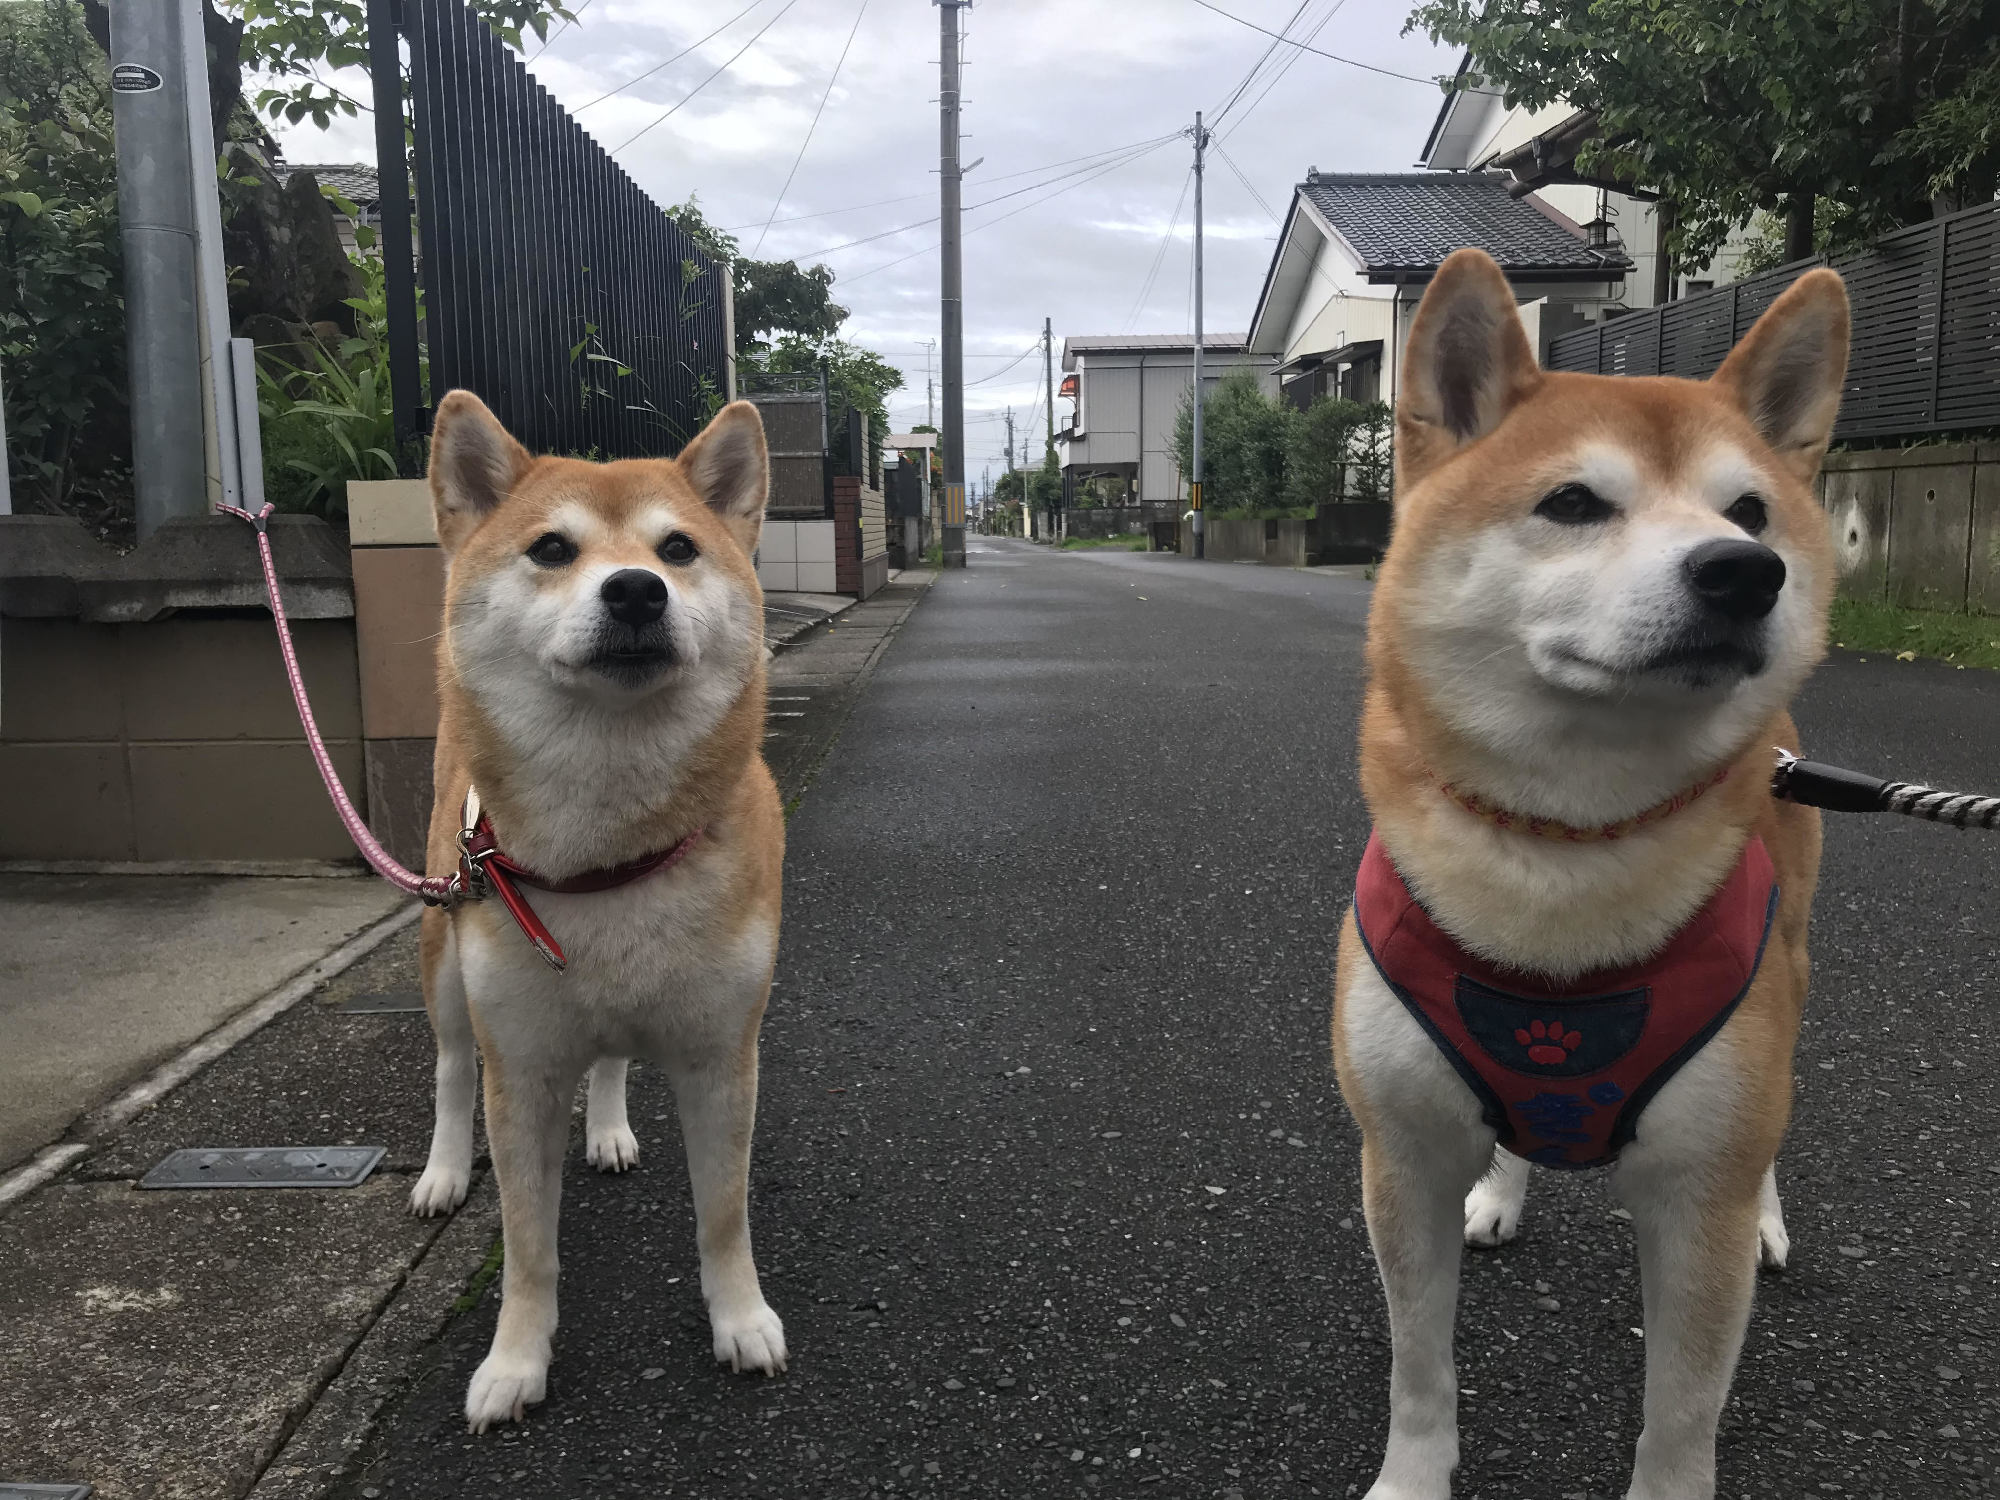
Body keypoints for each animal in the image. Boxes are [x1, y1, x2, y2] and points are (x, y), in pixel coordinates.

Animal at [402, 394, 784, 1440]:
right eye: (551, 548)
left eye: (679, 548)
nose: (637, 592)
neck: (609, 856)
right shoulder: (522, 1070)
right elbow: (528, 1244)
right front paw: (513, 1362)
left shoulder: (722, 1054)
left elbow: (723, 1214)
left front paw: (741, 1321)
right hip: (447, 948)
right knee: (450, 1067)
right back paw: (442, 1173)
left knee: (610, 1057)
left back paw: (609, 1129)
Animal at [1336, 250, 1848, 1500]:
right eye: (1571, 503)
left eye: (1748, 510)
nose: (1745, 571)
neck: (1559, 854)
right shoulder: (1400, 1157)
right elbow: (1417, 1368)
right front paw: (1410, 1479)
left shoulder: (1695, 1202)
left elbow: (1679, 1418)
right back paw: (1503, 1190)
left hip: (1789, 976)